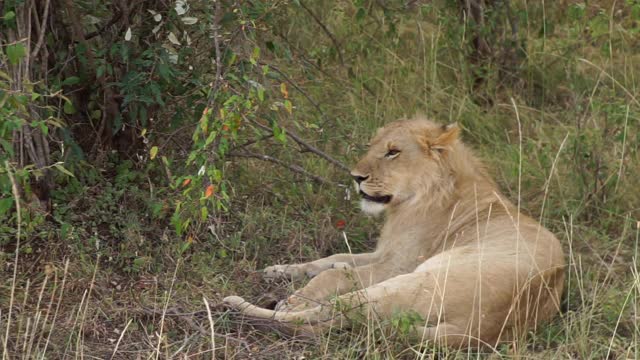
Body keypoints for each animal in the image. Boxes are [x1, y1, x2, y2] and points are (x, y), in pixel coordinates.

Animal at [222, 116, 564, 348]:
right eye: (370, 148)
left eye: (393, 152)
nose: (355, 177)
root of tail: (481, 331)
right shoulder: (385, 251)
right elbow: (333, 257)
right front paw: (279, 270)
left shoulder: (397, 264)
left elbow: (332, 274)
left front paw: (296, 297)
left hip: (413, 281)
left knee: (337, 310)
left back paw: (244, 306)